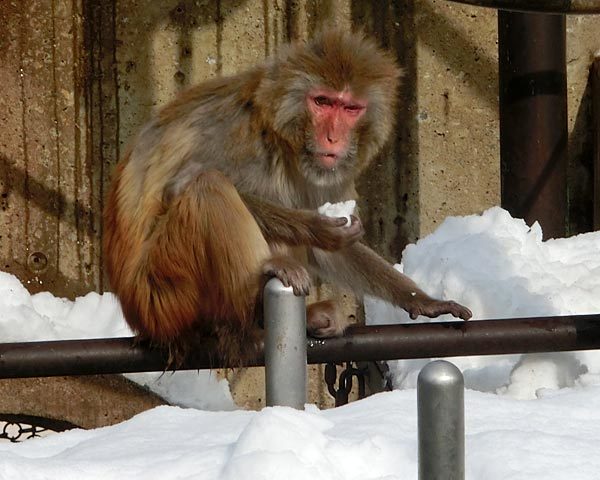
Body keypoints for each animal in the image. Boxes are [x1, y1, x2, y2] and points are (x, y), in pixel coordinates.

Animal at [104, 28, 474, 362]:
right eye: (322, 101)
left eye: (350, 108)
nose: (332, 138)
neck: (282, 139)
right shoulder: (235, 137)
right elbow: (179, 185)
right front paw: (315, 227)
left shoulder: (329, 174)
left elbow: (333, 250)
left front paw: (421, 299)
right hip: (165, 293)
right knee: (208, 187)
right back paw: (261, 288)